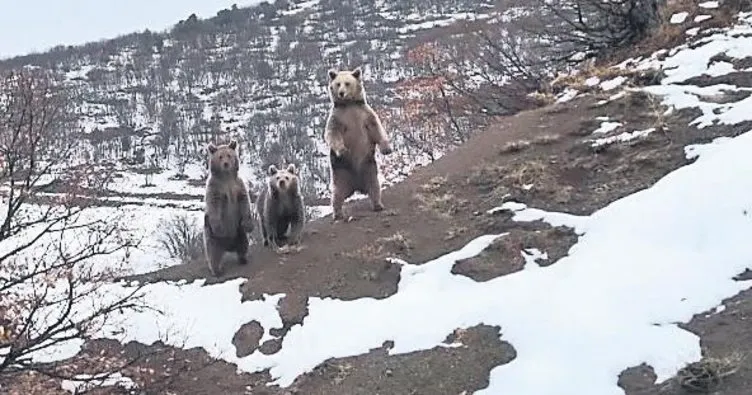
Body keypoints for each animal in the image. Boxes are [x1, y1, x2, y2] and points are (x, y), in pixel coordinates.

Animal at [203, 141, 256, 276]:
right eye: (220, 156)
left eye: (229, 155)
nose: (226, 164)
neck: (226, 178)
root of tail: (228, 247)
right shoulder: (215, 189)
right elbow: (214, 205)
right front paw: (219, 227)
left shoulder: (238, 186)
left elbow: (244, 202)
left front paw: (249, 225)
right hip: (212, 237)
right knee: (213, 253)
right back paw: (217, 270)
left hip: (239, 232)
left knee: (243, 245)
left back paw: (243, 259)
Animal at [324, 67, 394, 221]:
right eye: (338, 84)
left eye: (347, 83)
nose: (341, 93)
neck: (349, 104)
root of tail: (356, 186)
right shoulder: (338, 118)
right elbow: (332, 134)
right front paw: (343, 150)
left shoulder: (365, 114)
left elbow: (376, 127)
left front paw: (386, 149)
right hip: (341, 174)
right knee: (337, 195)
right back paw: (337, 213)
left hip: (369, 167)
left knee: (374, 187)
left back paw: (378, 205)